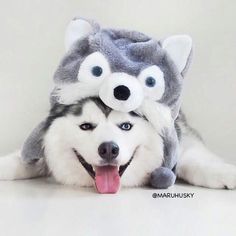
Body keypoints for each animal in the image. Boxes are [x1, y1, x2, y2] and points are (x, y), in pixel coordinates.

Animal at [0, 97, 236, 194]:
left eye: (126, 126)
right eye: (86, 126)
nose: (108, 149)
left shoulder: (182, 139)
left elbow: (196, 161)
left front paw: (226, 173)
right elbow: (25, 159)